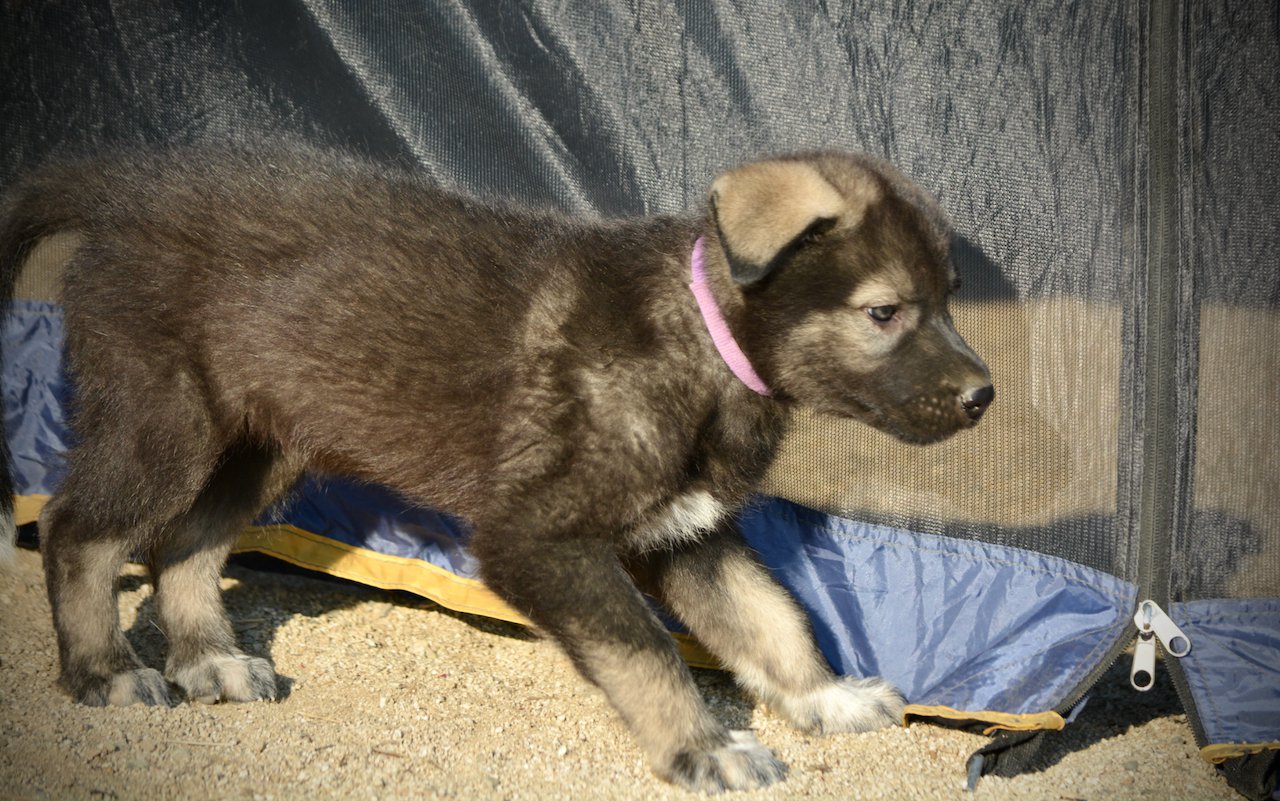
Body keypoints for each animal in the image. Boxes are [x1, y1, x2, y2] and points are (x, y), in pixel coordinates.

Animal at [0, 145, 988, 793]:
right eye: (885, 311)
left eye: (948, 301)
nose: (984, 397)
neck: (703, 338)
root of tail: (129, 190)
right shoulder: (539, 538)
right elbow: (647, 648)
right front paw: (704, 750)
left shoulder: (690, 529)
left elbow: (773, 618)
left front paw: (826, 700)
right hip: (168, 421)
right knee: (81, 529)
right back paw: (104, 669)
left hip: (259, 441)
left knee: (187, 542)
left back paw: (211, 658)